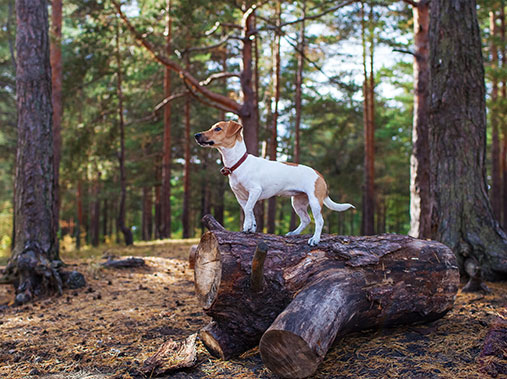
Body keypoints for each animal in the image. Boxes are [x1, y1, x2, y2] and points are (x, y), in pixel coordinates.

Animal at [193, 120, 354, 248]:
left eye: (218, 129)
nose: (196, 135)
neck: (238, 163)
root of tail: (319, 175)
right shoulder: (241, 197)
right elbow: (249, 211)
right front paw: (252, 227)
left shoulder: (255, 191)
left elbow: (248, 210)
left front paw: (246, 226)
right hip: (298, 202)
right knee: (306, 220)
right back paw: (294, 233)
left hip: (314, 201)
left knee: (319, 221)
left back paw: (315, 239)